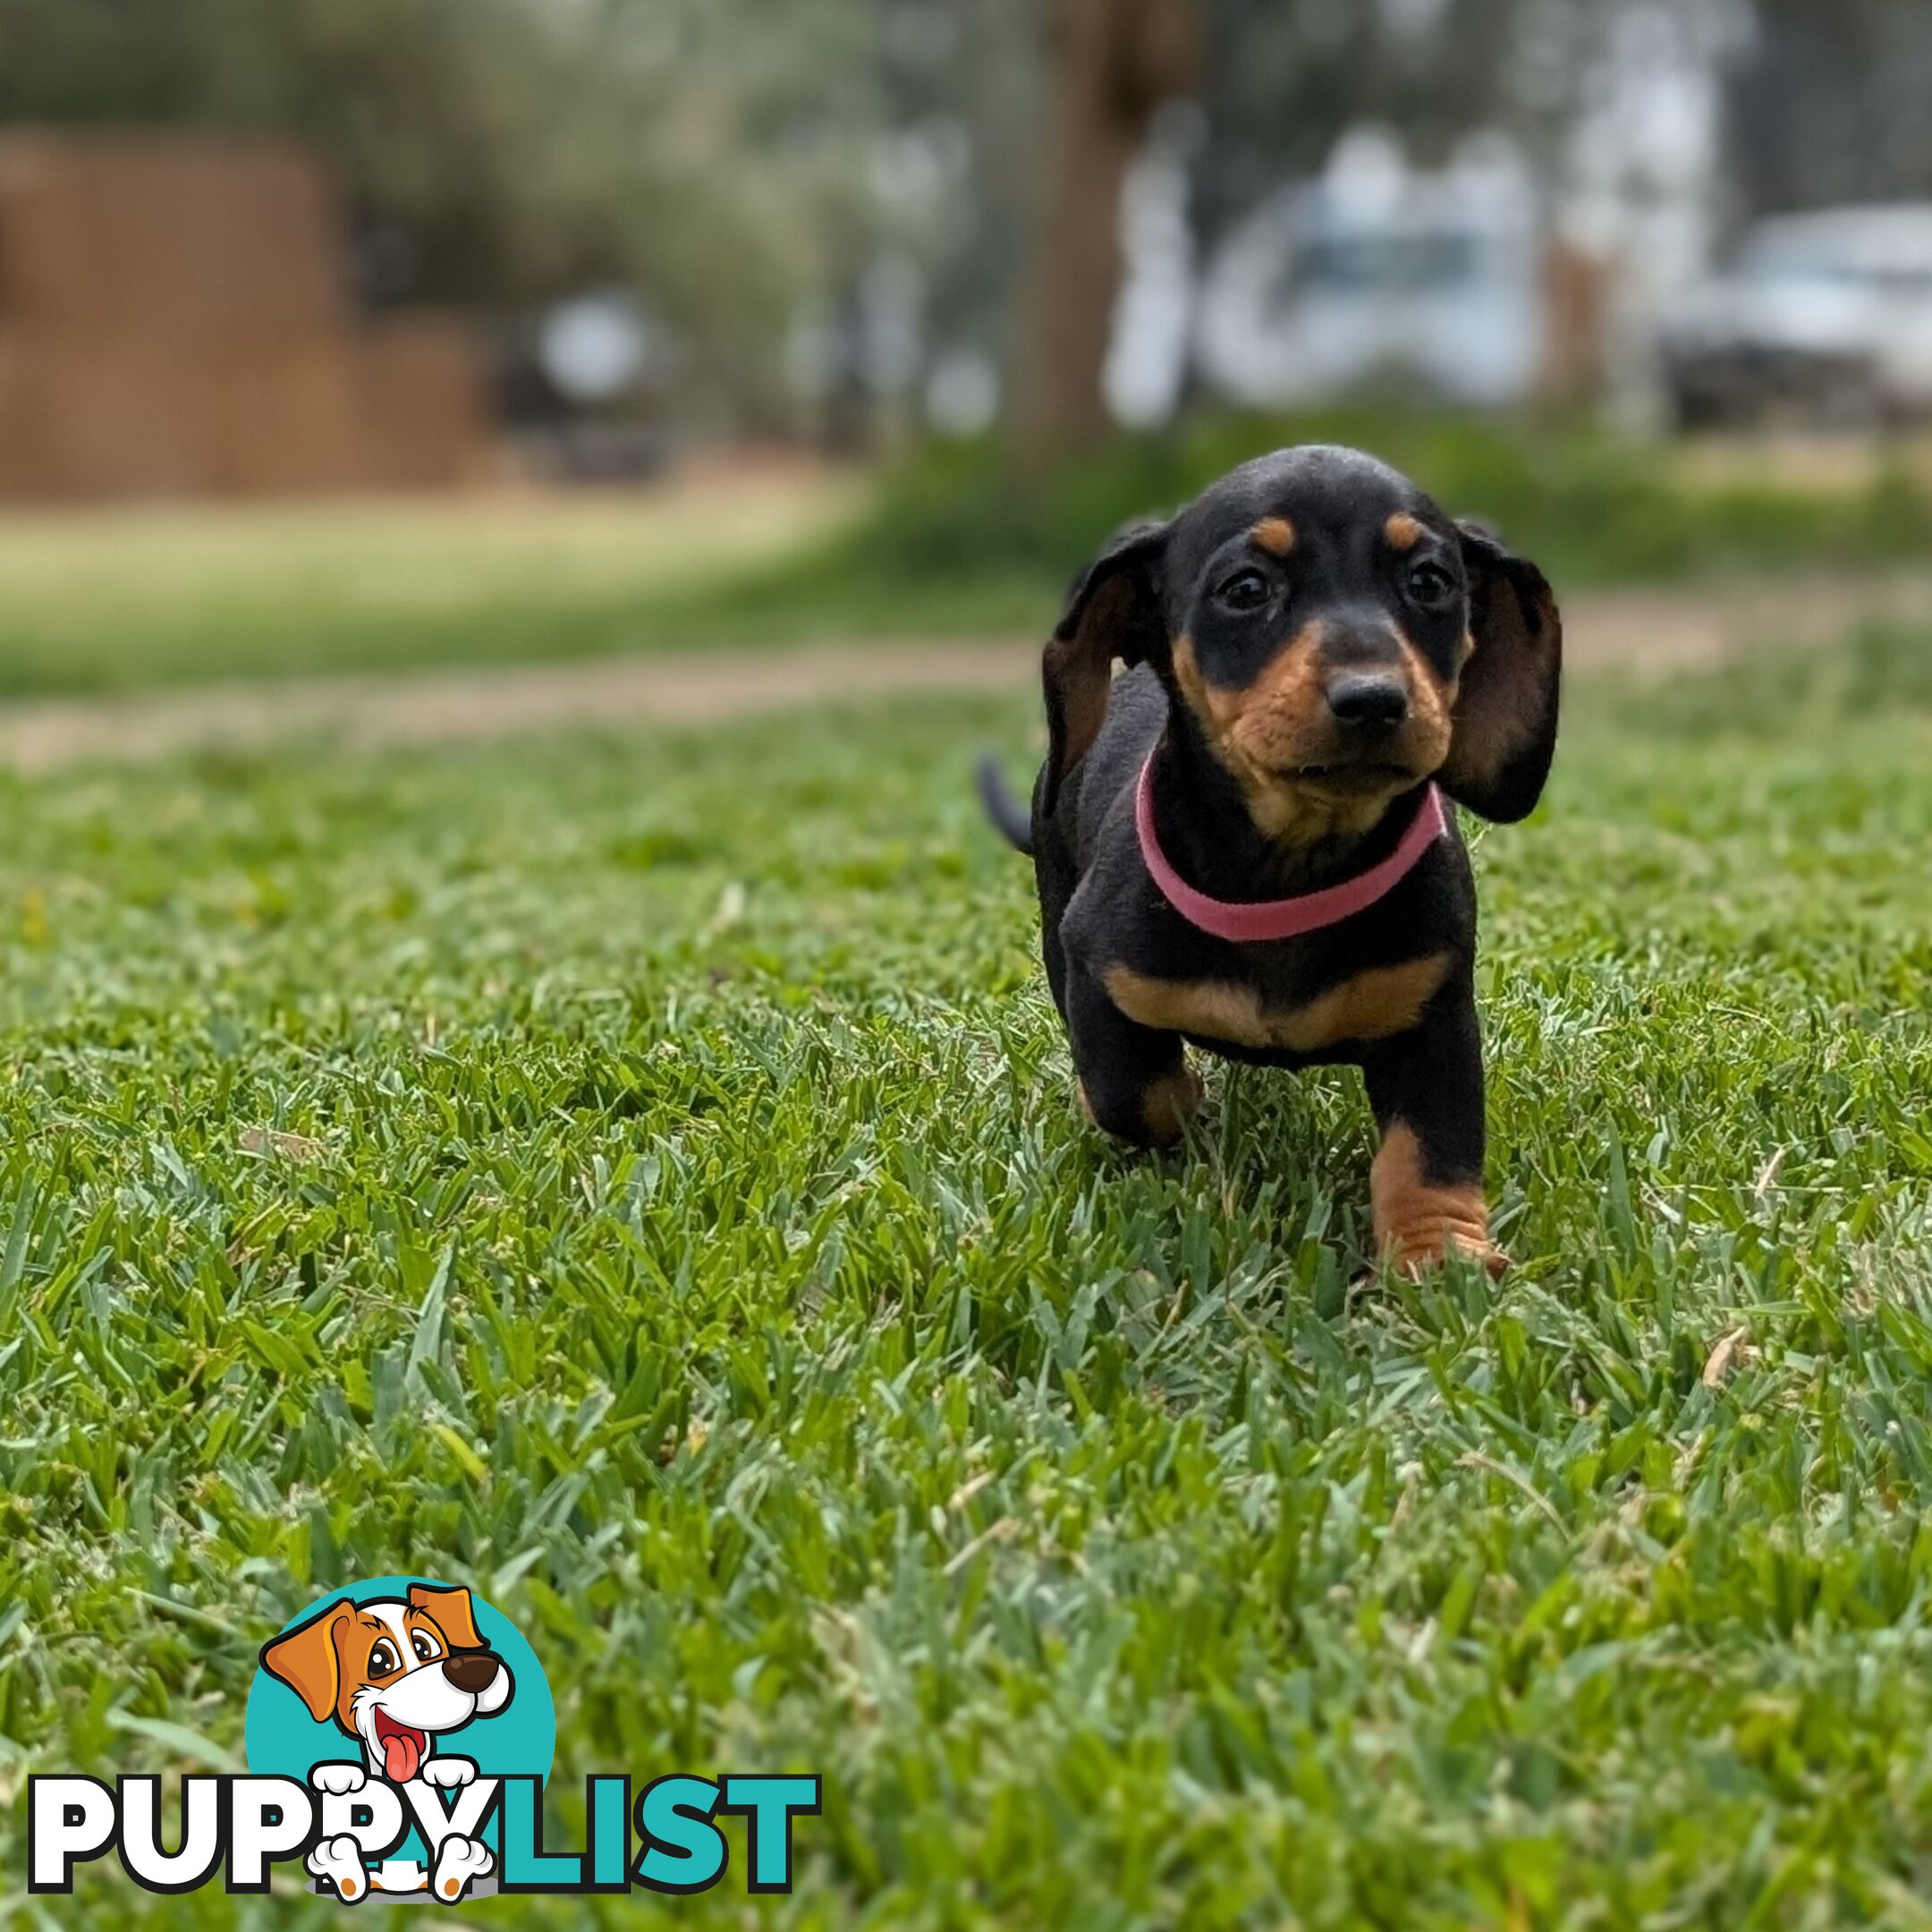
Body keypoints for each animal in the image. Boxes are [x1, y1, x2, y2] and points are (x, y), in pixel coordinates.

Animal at [988, 444, 1561, 1275]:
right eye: (1247, 589)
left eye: (1429, 583)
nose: (1374, 700)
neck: (1291, 873)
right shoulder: (1098, 971)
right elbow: (1135, 1090)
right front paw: (1178, 1112)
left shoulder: (1436, 1016)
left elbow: (1432, 1150)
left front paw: (1439, 1254)